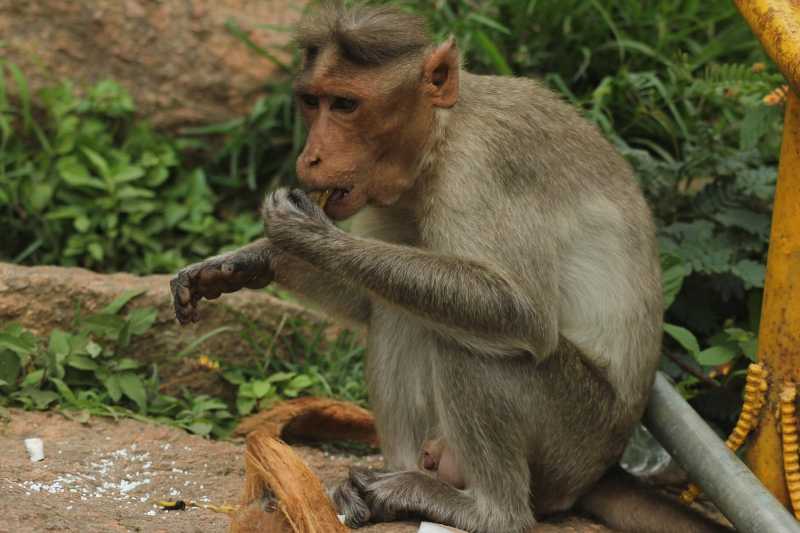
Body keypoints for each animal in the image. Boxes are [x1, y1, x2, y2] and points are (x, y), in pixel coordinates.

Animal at [170, 3, 732, 532]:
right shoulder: (389, 195)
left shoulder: (484, 166)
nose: (310, 159)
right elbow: (366, 298)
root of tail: (602, 470)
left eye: (346, 104)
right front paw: (244, 262)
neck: (440, 138)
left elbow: (521, 311)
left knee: (479, 345)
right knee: (399, 310)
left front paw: (304, 235)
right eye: (313, 101)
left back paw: (486, 511)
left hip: (574, 440)